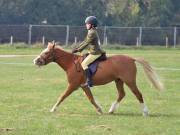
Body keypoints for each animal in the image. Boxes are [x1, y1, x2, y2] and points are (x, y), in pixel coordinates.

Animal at [33, 42, 164, 116]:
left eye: (46, 52)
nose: (35, 61)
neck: (71, 63)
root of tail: (131, 58)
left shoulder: (73, 85)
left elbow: (62, 96)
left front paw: (53, 109)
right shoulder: (84, 86)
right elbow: (91, 98)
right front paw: (100, 110)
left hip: (129, 81)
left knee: (138, 94)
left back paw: (145, 112)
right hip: (119, 81)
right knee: (121, 94)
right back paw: (111, 110)